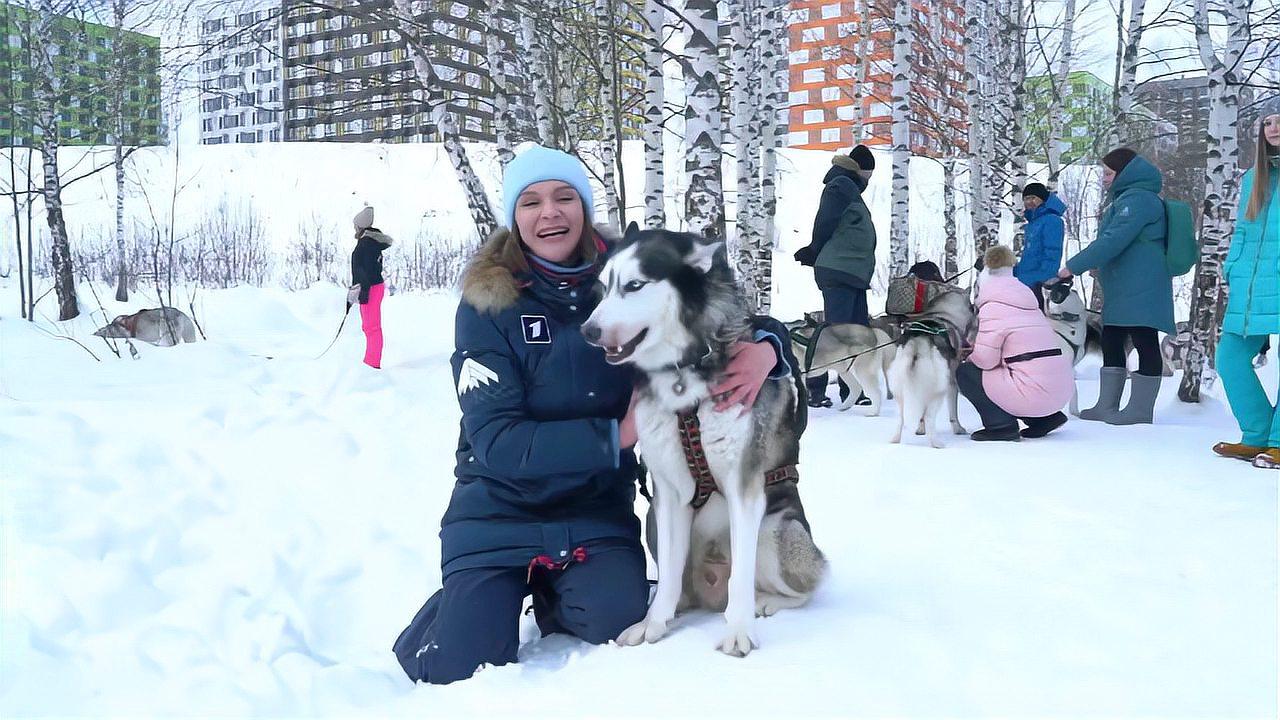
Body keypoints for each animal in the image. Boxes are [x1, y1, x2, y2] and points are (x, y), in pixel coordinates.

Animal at [583, 226, 824, 653]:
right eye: (602, 286)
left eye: (634, 285)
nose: (588, 331)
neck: (684, 373)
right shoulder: (668, 492)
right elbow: (667, 575)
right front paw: (652, 624)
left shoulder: (744, 487)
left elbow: (741, 576)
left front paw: (739, 630)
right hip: (651, 518)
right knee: (678, 580)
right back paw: (679, 606)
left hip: (776, 530)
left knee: (802, 588)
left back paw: (765, 602)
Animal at [890, 284, 967, 443]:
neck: (942, 314)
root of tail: (917, 341)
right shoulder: (952, 383)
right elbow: (953, 414)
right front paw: (958, 429)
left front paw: (920, 430)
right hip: (938, 389)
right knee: (929, 416)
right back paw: (936, 443)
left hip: (900, 389)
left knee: (901, 417)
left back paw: (895, 439)